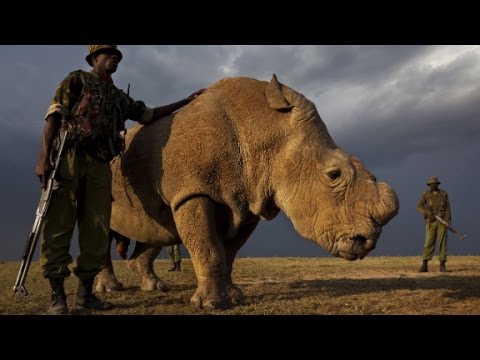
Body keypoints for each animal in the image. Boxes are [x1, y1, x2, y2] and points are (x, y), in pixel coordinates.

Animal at [95, 74, 400, 310]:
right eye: (334, 175)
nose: (366, 242)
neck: (265, 127)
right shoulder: (194, 191)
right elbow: (209, 249)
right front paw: (211, 305)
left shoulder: (249, 201)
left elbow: (228, 252)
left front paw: (234, 296)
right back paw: (109, 290)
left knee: (156, 229)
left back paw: (155, 287)